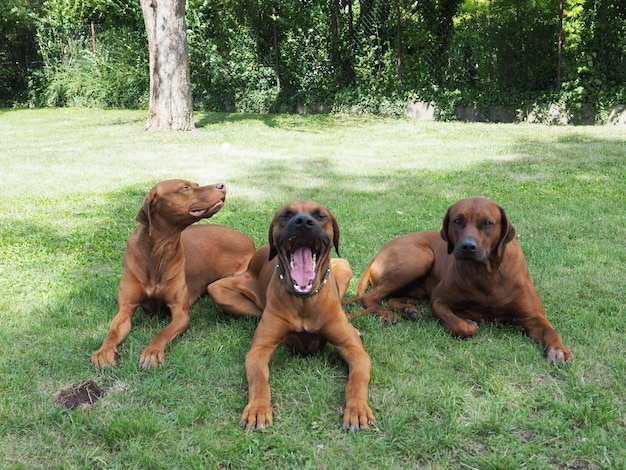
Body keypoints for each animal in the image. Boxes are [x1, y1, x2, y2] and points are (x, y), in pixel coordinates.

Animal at [89, 178, 254, 370]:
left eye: (196, 184)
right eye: (185, 187)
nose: (221, 185)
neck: (159, 251)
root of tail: (248, 239)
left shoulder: (180, 313)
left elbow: (162, 333)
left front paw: (152, 352)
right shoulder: (125, 310)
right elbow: (112, 333)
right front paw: (103, 352)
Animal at [207, 200, 372, 432]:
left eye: (320, 215)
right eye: (286, 215)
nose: (302, 222)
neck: (303, 301)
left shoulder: (354, 350)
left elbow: (357, 379)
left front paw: (357, 409)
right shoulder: (259, 350)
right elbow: (259, 380)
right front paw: (257, 408)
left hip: (344, 266)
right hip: (217, 289)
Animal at [352, 197, 572, 364]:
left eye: (487, 222)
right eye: (457, 221)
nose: (468, 246)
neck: (487, 273)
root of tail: (379, 252)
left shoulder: (532, 317)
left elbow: (550, 330)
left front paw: (559, 350)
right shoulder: (439, 300)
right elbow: (456, 323)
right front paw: (467, 322)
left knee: (391, 297)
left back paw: (409, 310)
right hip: (419, 258)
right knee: (370, 298)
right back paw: (385, 314)